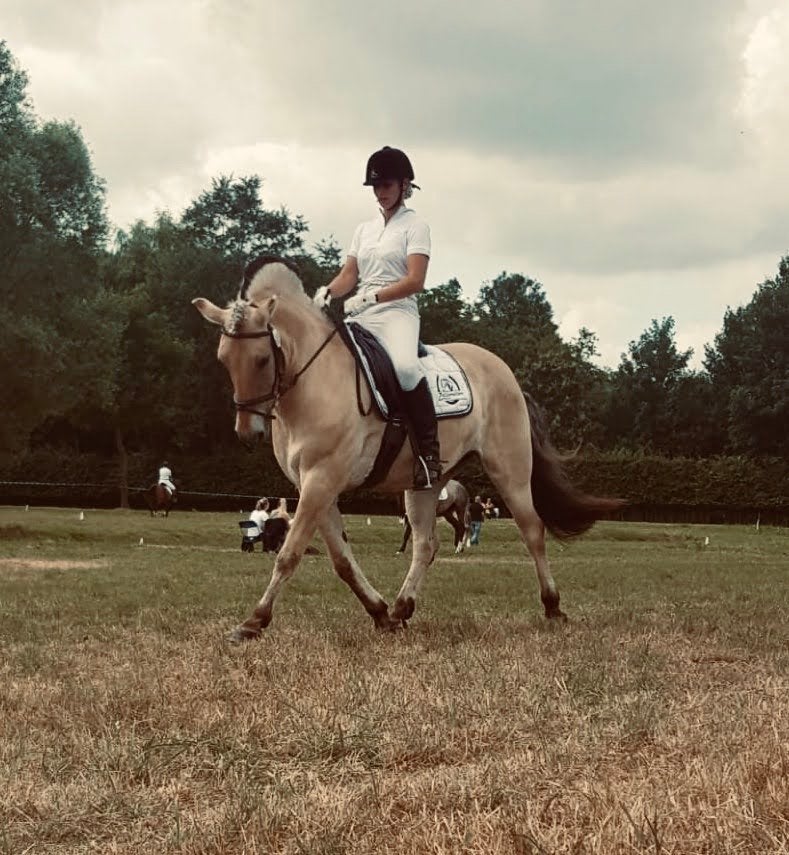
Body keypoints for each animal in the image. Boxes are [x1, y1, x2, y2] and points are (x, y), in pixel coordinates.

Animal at [193, 257, 623, 641]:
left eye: (262, 359)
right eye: (223, 359)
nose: (247, 432)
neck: (313, 381)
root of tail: (507, 374)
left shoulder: (322, 478)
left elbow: (289, 553)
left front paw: (253, 622)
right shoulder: (313, 485)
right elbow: (341, 560)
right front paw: (380, 613)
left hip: (510, 471)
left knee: (532, 530)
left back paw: (552, 607)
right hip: (425, 484)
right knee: (426, 544)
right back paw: (402, 608)